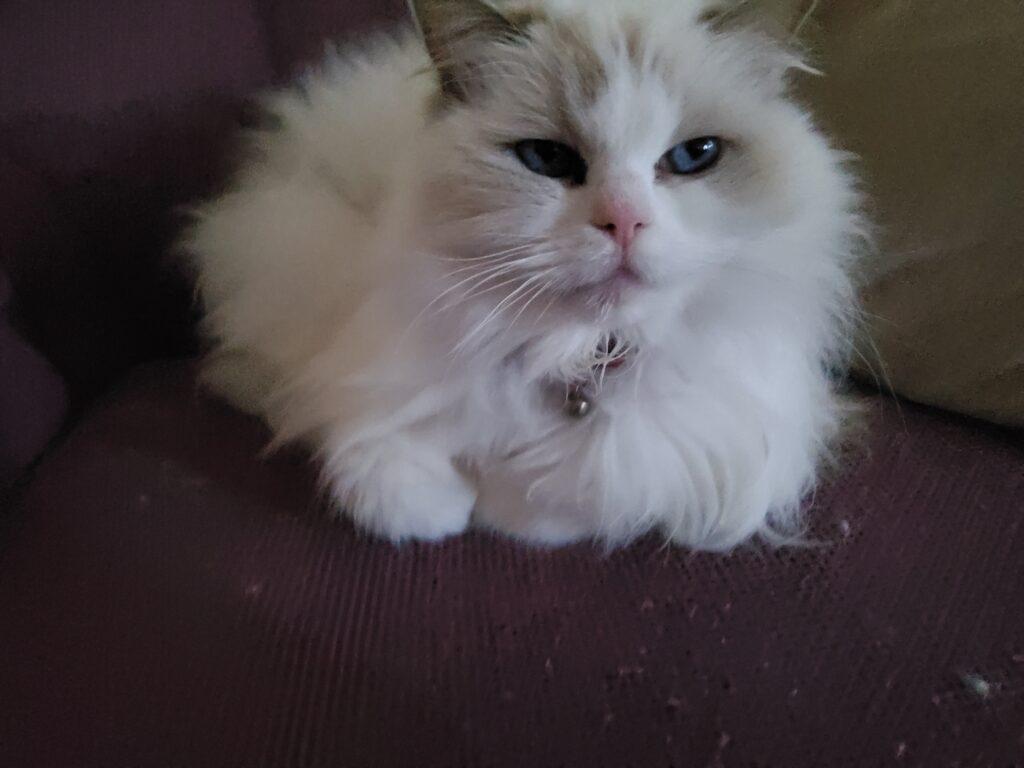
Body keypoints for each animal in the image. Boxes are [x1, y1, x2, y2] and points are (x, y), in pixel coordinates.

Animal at [184, 0, 864, 552]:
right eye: (547, 158)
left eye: (695, 156)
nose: (624, 222)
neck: (571, 354)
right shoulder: (365, 367)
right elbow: (376, 459)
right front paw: (446, 512)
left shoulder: (711, 443)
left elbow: (579, 487)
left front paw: (498, 507)